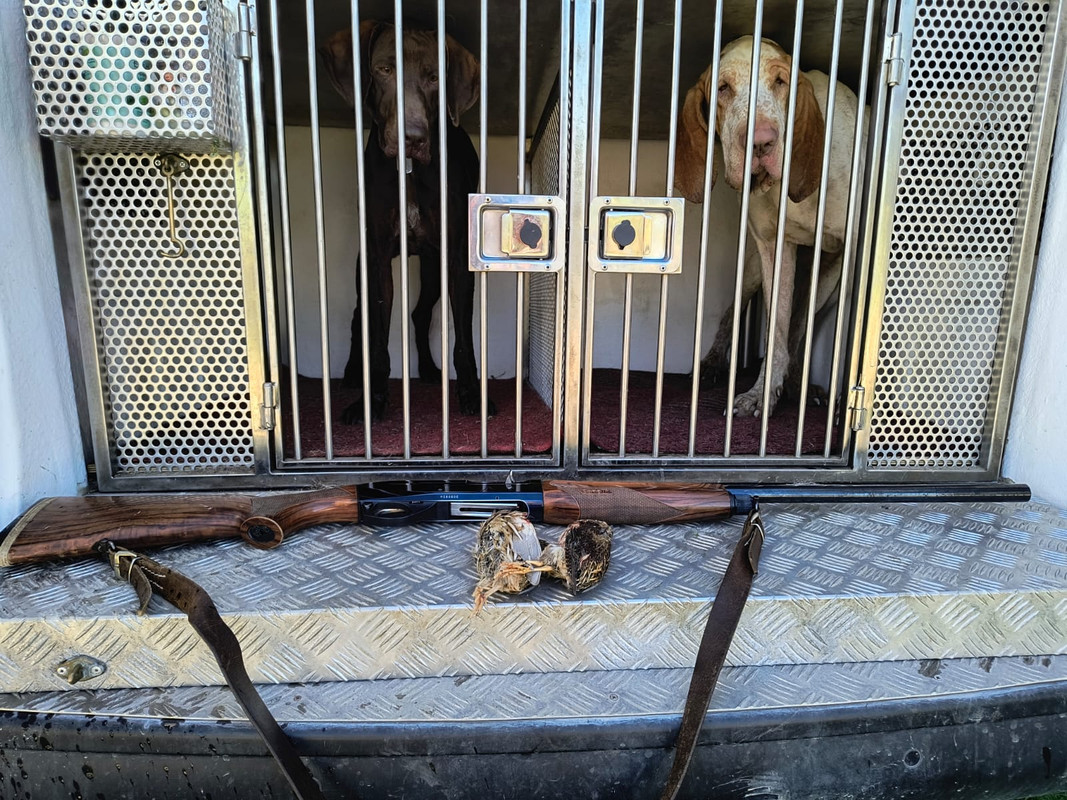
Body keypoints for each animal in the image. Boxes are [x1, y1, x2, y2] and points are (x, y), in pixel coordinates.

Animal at [320, 22, 492, 422]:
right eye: (384, 70)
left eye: (434, 77)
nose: (412, 137)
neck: (410, 172)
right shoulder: (378, 259)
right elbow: (378, 343)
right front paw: (372, 402)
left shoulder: (456, 261)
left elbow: (463, 341)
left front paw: (471, 395)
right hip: (363, 264)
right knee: (359, 317)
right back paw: (353, 373)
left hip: (432, 268)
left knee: (419, 314)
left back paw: (428, 369)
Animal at [675, 35, 868, 417]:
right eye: (722, 88)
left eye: (781, 82)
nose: (761, 141)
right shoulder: (771, 248)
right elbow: (776, 330)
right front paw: (761, 393)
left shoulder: (854, 251)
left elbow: (839, 334)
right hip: (752, 266)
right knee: (736, 313)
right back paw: (716, 364)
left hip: (828, 277)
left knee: (803, 325)